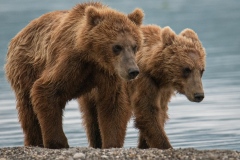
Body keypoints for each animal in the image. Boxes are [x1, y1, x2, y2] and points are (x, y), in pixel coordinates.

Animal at [5, 1, 143, 149]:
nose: (133, 71)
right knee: (28, 111)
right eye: (117, 46)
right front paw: (58, 142)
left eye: (134, 46)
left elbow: (112, 105)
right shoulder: (69, 62)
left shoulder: (108, 73)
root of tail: (19, 34)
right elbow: (45, 90)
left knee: (91, 117)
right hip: (25, 69)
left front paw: (111, 143)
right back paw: (34, 141)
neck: (93, 57)